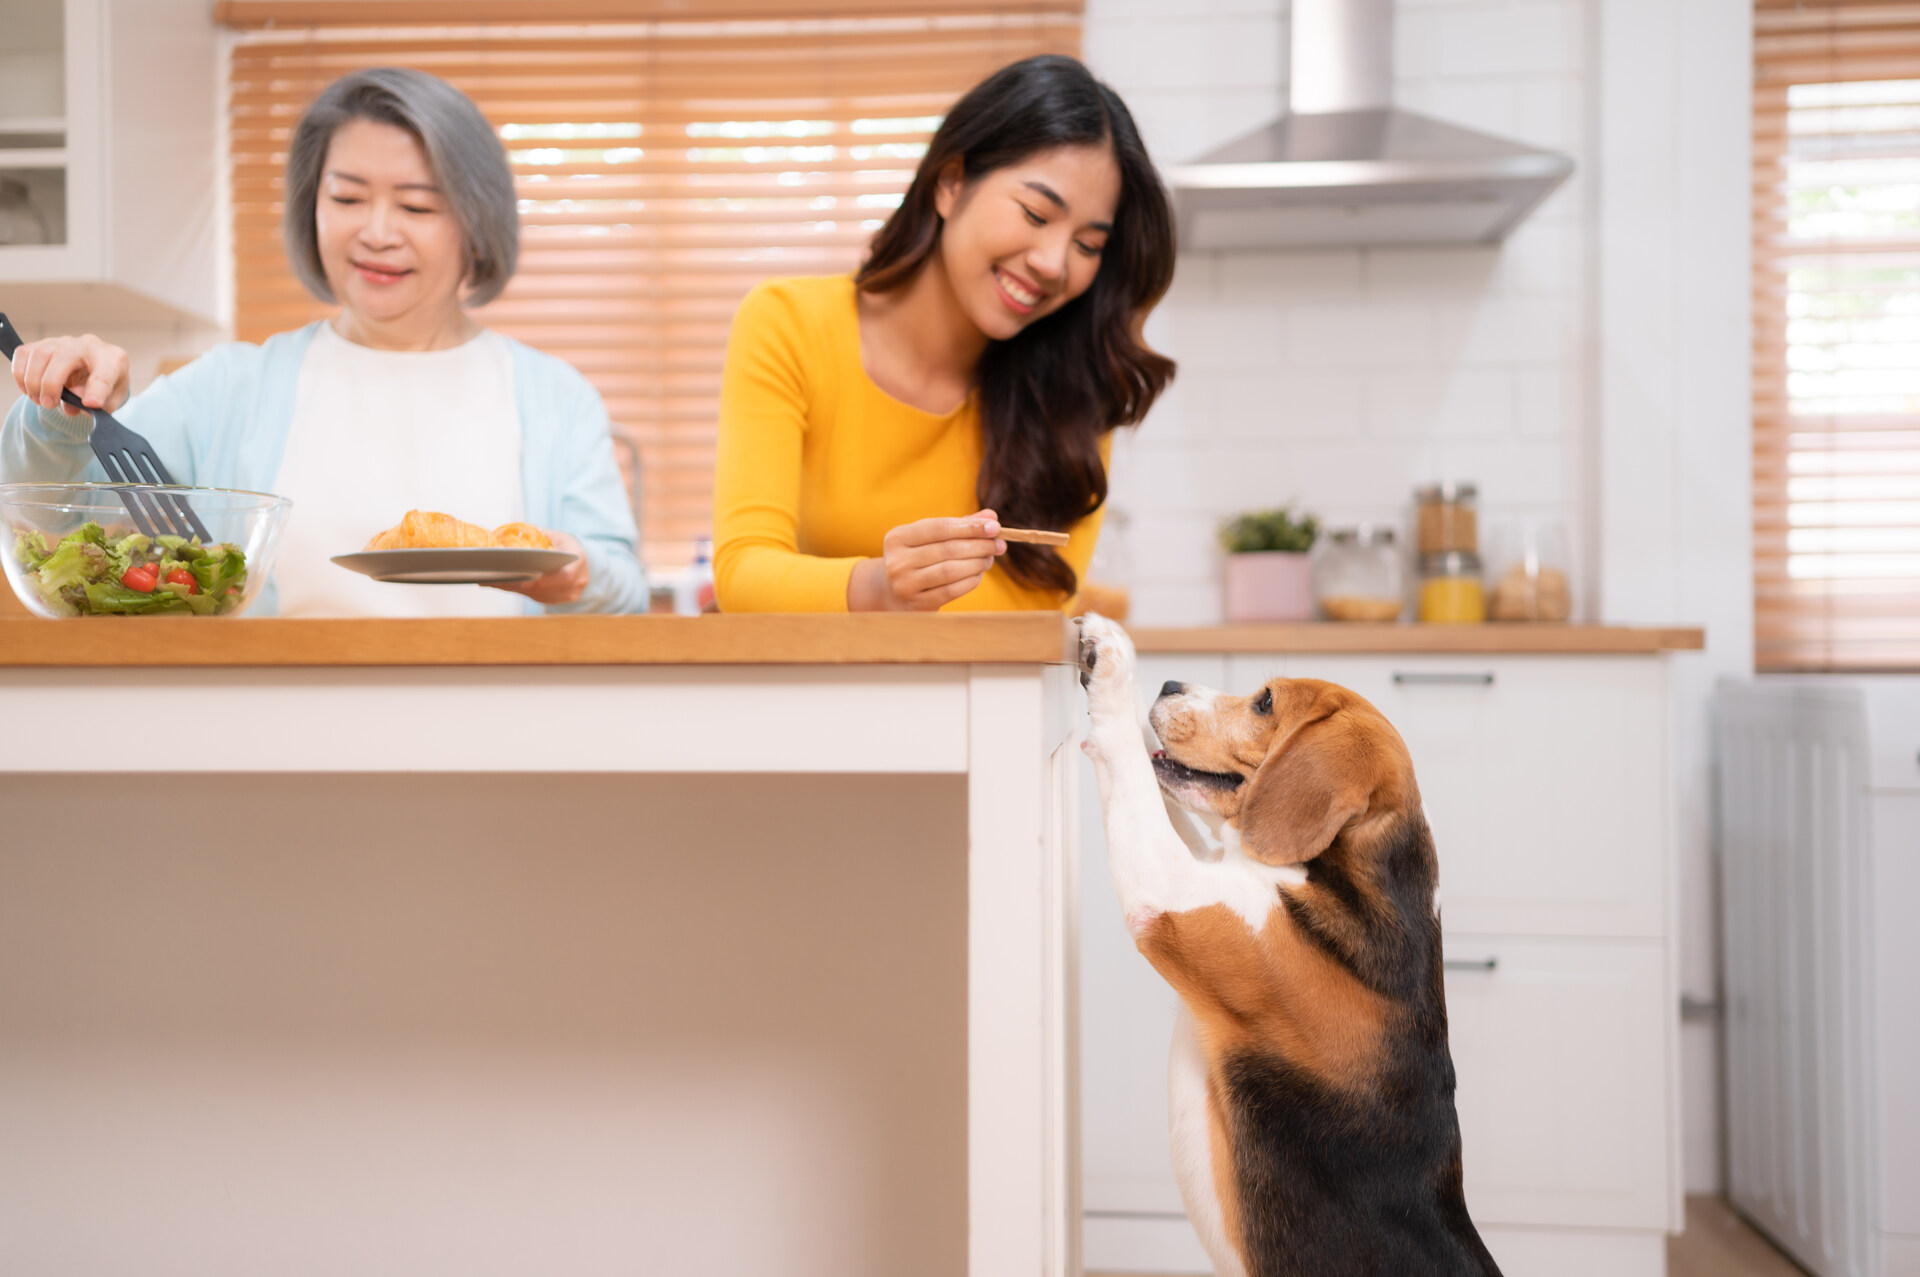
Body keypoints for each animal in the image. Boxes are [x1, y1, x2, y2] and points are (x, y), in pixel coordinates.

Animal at [1082, 614, 1497, 1275]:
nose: (1170, 682)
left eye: (1265, 702)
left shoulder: (1173, 900)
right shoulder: (1211, 874)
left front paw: (1114, 659)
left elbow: (1130, 772)